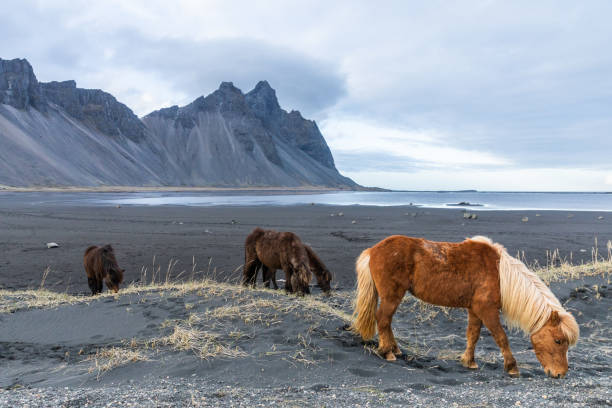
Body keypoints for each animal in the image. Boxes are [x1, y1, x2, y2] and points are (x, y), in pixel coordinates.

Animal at [352, 236, 580, 380]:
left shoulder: (475, 310)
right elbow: (501, 337)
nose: (560, 374)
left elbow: (473, 335)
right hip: (392, 296)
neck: (499, 274)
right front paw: (512, 367)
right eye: (558, 341)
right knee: (383, 319)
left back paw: (395, 350)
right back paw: (387, 353)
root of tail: (373, 250)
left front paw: (469, 362)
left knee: (387, 321)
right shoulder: (487, 310)